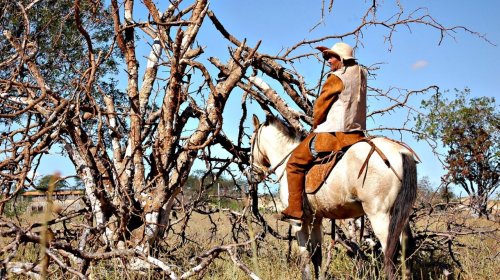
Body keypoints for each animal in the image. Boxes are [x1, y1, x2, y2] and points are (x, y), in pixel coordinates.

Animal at [247, 115, 418, 278]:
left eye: (250, 142)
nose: (252, 173)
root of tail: (400, 152)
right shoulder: (316, 219)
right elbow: (317, 256)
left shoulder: (298, 222)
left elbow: (305, 260)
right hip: (400, 216)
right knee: (407, 250)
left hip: (380, 216)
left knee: (390, 253)